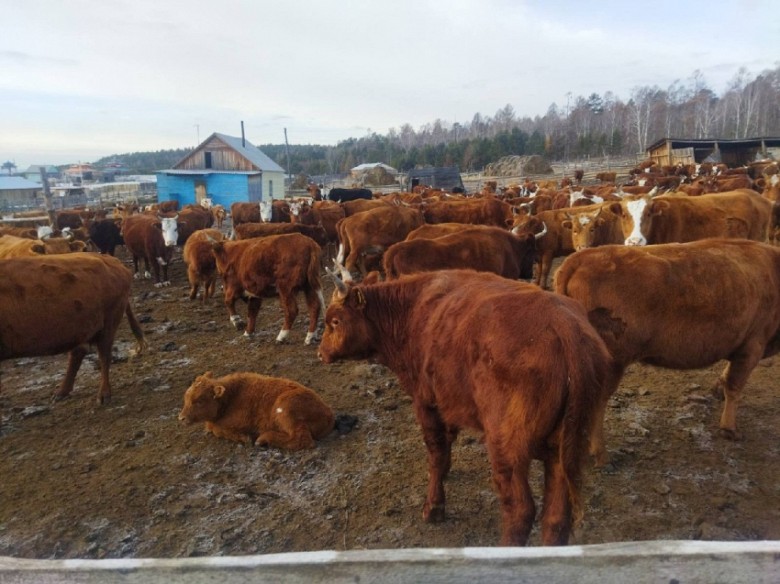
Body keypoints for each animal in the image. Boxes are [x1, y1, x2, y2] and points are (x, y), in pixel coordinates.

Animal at [0, 253, 146, 408]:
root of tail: (110, 259)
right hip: (81, 329)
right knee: (79, 352)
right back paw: (61, 392)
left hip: (108, 325)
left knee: (104, 356)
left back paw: (103, 394)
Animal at [178, 372, 336, 450]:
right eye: (186, 397)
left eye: (199, 400)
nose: (181, 418)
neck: (231, 396)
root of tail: (328, 412)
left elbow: (217, 429)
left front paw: (245, 438)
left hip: (286, 409)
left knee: (303, 440)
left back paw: (263, 439)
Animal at [316, 272, 608, 544]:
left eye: (335, 321)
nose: (320, 352)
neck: (413, 310)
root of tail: (565, 328)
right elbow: (445, 449)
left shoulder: (426, 403)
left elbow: (436, 453)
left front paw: (433, 507)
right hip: (563, 452)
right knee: (556, 518)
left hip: (507, 448)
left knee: (520, 510)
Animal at [556, 237, 780, 466]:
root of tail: (578, 260)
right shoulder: (752, 348)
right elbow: (734, 386)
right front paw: (730, 430)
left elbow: (727, 377)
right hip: (612, 363)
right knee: (597, 402)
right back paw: (601, 455)